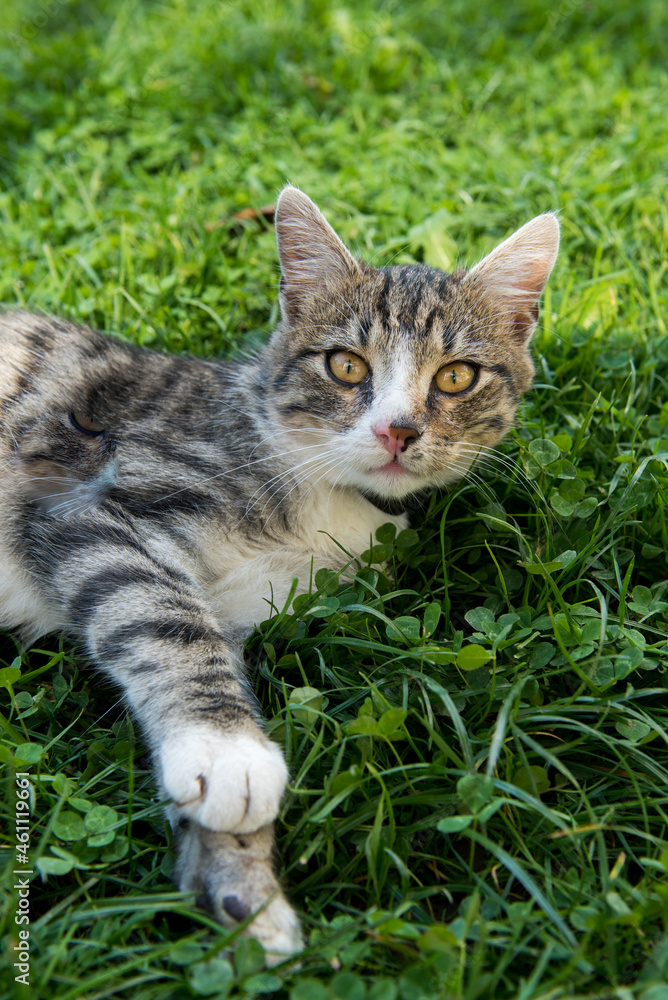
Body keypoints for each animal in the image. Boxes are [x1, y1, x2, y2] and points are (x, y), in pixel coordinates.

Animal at [0, 186, 560, 960]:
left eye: (456, 376)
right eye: (346, 366)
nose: (397, 430)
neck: (324, 489)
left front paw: (240, 881)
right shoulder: (86, 502)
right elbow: (160, 618)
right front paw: (226, 751)